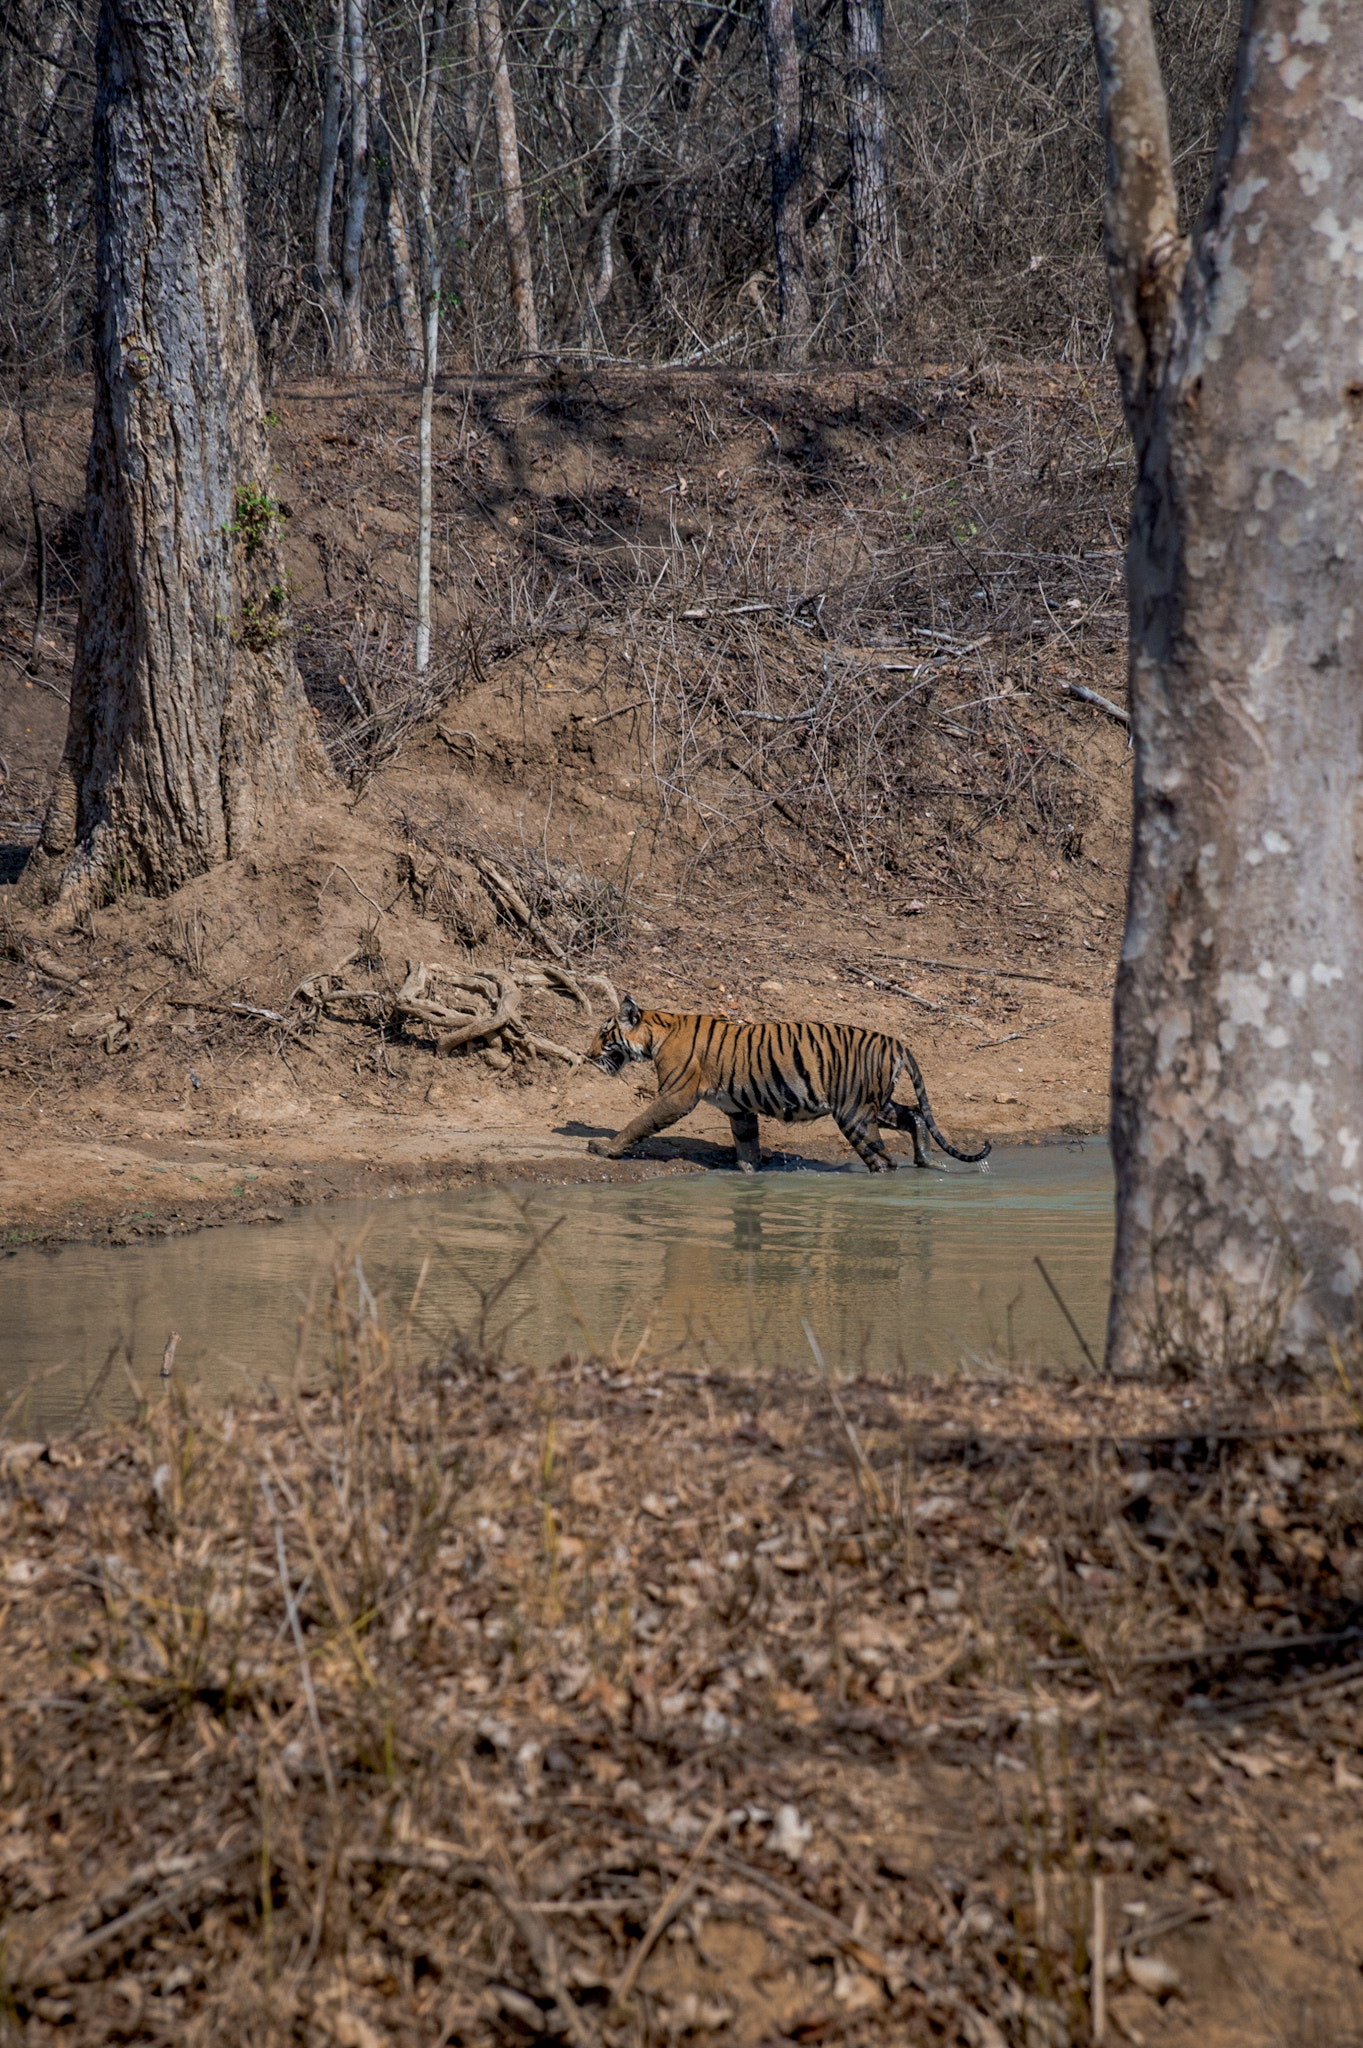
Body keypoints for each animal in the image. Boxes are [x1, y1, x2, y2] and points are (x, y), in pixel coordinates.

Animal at [577, 999, 982, 1179]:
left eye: (604, 1033)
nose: (588, 1054)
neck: (656, 1033)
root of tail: (896, 1042)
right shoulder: (738, 1108)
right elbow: (747, 1144)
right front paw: (748, 1175)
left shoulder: (675, 1096)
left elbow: (638, 1123)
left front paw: (605, 1149)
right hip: (876, 1104)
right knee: (914, 1115)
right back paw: (927, 1161)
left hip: (854, 1114)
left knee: (883, 1160)